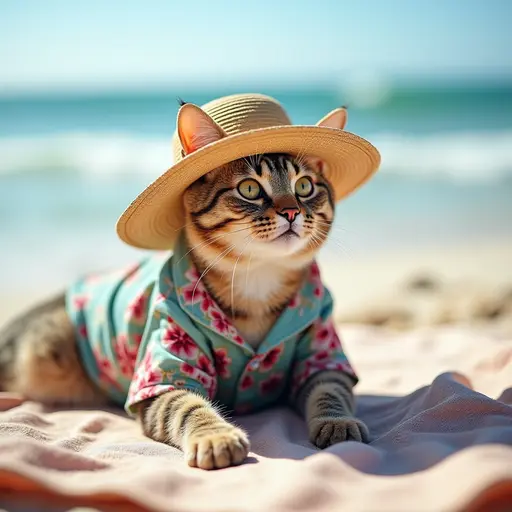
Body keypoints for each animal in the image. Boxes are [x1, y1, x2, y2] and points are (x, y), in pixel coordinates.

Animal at [0, 104, 368, 472]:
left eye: (304, 185)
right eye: (250, 189)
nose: (291, 211)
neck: (257, 280)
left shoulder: (322, 354)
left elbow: (330, 391)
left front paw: (337, 422)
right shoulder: (164, 371)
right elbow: (187, 406)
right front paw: (216, 436)